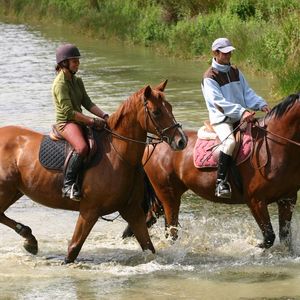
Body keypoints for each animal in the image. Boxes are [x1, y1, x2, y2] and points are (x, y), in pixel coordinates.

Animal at [0, 79, 188, 262]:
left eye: (170, 107)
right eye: (156, 112)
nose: (182, 141)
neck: (118, 155)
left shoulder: (132, 210)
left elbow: (149, 247)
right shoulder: (89, 211)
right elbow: (73, 248)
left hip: (14, 191)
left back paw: (29, 239)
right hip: (6, 190)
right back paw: (29, 238)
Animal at [124, 92, 300, 251]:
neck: (274, 146)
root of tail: (153, 143)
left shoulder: (287, 200)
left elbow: (285, 239)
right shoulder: (256, 201)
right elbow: (269, 237)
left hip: (164, 197)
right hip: (169, 197)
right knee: (170, 231)